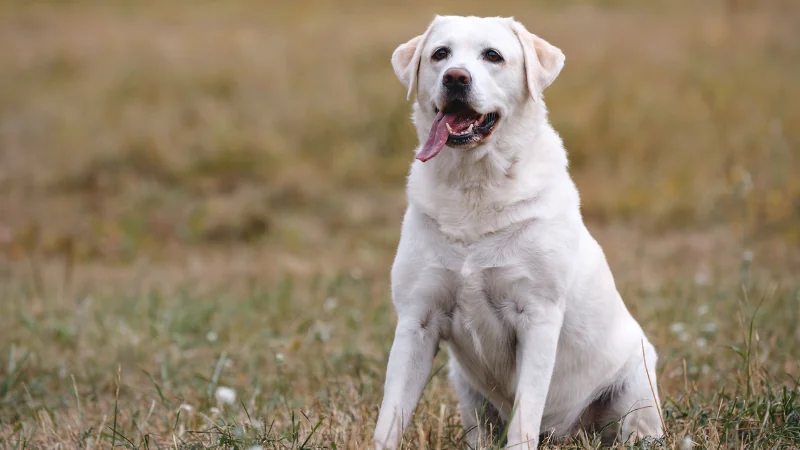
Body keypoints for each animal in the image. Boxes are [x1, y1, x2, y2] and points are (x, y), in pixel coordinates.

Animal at [372, 15, 664, 448]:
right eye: (440, 54)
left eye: (492, 56)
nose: (455, 77)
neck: (475, 185)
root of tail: (565, 434)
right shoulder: (416, 319)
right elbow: (390, 416)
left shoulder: (537, 316)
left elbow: (526, 412)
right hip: (466, 390)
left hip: (636, 387)